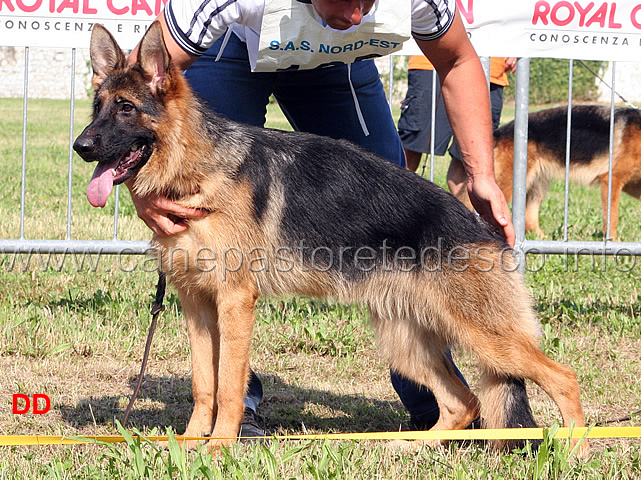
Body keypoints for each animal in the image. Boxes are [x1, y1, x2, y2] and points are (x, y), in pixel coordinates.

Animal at [72, 22, 588, 456]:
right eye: (97, 107)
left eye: (126, 108)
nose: (81, 146)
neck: (197, 170)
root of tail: (485, 228)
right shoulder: (197, 306)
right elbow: (204, 384)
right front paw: (188, 443)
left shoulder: (234, 303)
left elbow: (228, 386)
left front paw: (218, 447)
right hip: (406, 342)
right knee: (463, 402)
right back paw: (408, 447)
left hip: (486, 338)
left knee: (563, 378)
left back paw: (576, 449)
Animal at [452, 106, 640, 239]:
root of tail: (498, 132)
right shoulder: (612, 180)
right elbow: (612, 217)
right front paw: (613, 242)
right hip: (505, 187)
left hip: (537, 185)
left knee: (530, 220)